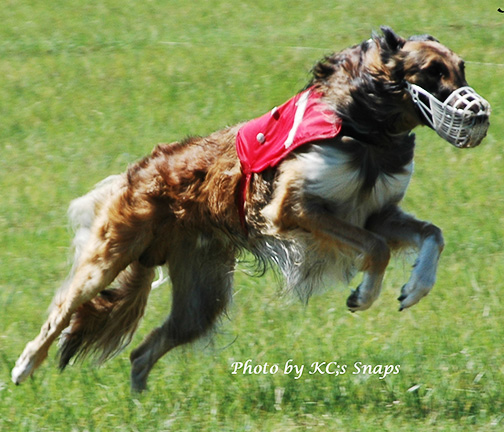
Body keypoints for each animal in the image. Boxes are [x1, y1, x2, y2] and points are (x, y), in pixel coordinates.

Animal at [11, 27, 490, 392]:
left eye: (461, 68)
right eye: (432, 72)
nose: (481, 112)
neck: (365, 125)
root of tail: (140, 169)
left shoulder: (376, 213)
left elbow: (432, 234)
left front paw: (415, 288)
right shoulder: (294, 207)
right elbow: (377, 248)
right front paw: (364, 295)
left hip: (202, 296)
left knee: (142, 352)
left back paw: (141, 403)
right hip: (108, 257)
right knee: (60, 313)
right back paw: (23, 366)